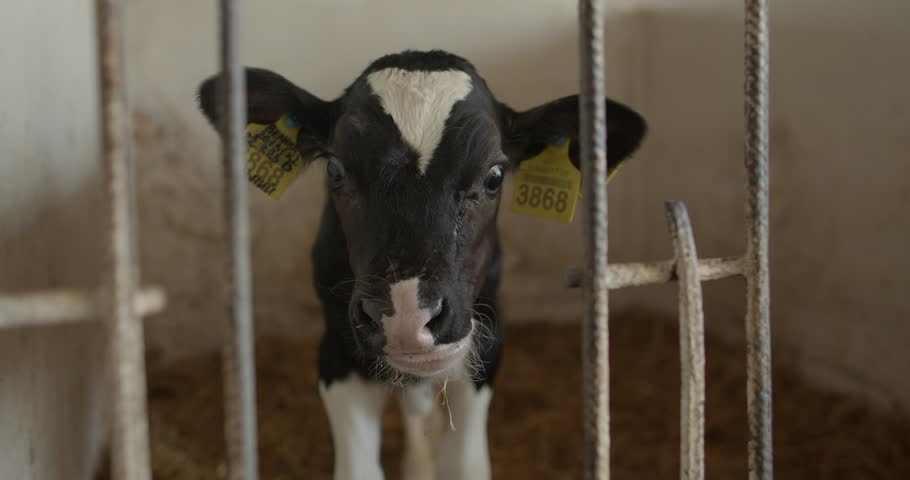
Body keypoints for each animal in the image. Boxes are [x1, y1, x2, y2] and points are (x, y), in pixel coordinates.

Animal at [197, 49, 646, 480]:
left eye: (495, 175)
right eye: (336, 170)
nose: (407, 315)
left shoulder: (485, 348)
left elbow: (464, 466)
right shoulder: (337, 352)